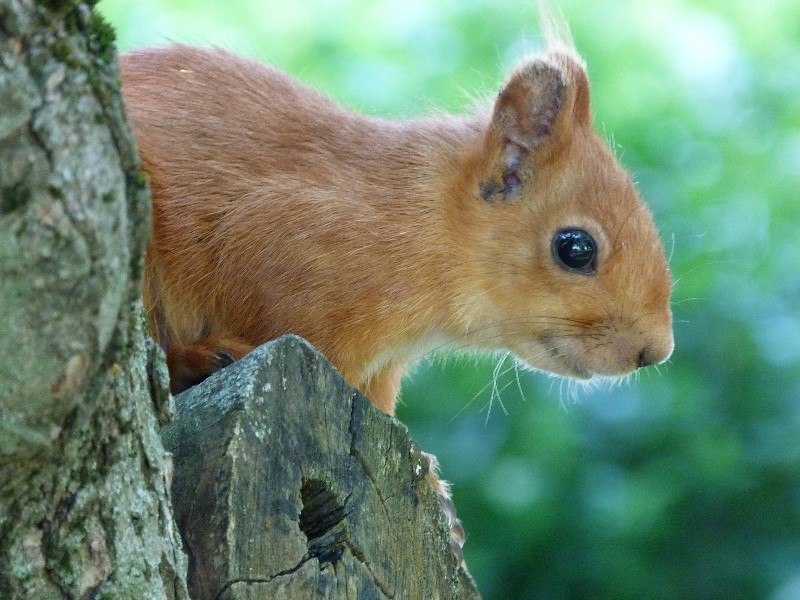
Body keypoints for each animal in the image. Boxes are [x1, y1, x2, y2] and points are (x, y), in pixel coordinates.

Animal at [120, 21, 673, 564]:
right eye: (575, 248)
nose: (655, 351)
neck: (416, 225)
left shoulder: (378, 374)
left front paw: (434, 489)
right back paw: (197, 358)